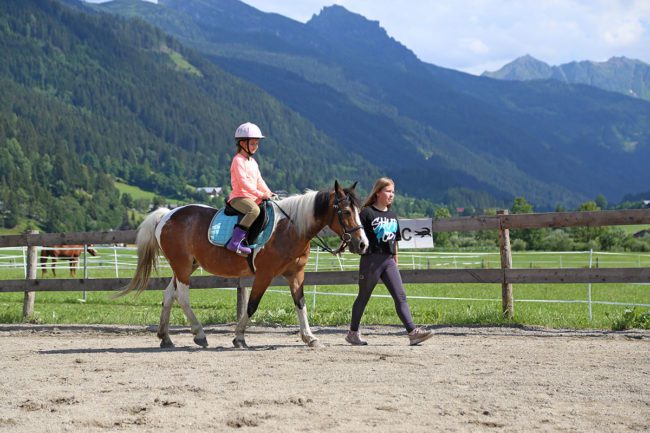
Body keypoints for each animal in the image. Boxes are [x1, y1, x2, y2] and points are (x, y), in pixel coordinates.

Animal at [119, 181, 368, 348]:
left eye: (359, 211)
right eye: (346, 211)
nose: (363, 244)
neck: (289, 229)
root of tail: (166, 215)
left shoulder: (296, 275)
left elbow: (301, 304)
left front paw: (310, 337)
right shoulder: (265, 275)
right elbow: (252, 305)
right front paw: (239, 337)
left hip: (187, 266)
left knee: (169, 294)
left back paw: (166, 337)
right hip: (182, 266)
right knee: (182, 296)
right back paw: (199, 334)